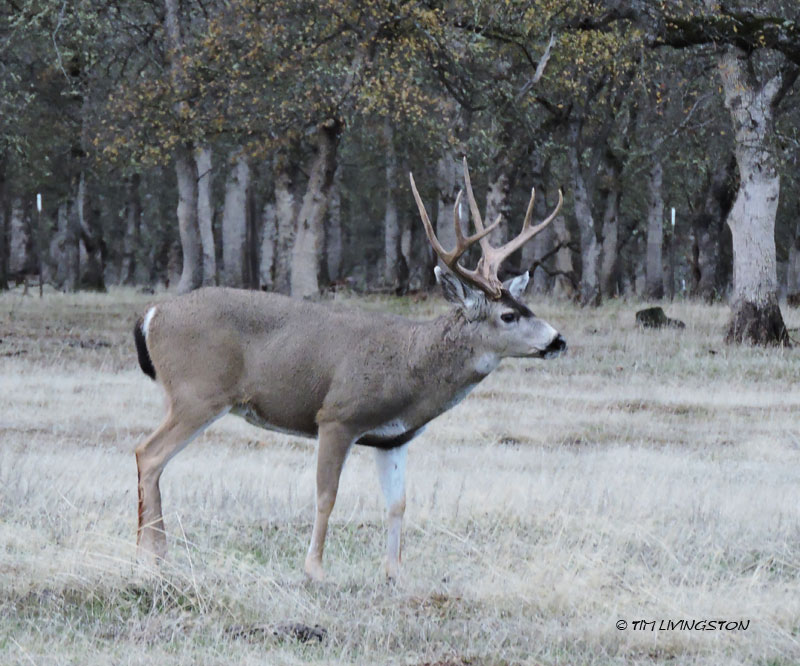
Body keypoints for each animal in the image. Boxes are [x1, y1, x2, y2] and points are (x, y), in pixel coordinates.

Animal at [133, 157, 566, 581]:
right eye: (508, 316)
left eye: (527, 307)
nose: (558, 340)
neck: (411, 366)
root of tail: (152, 316)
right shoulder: (338, 415)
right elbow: (327, 495)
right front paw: (315, 570)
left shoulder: (394, 439)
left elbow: (398, 503)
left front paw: (394, 572)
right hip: (198, 393)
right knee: (149, 455)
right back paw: (153, 558)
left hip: (187, 397)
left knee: (147, 456)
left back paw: (148, 552)